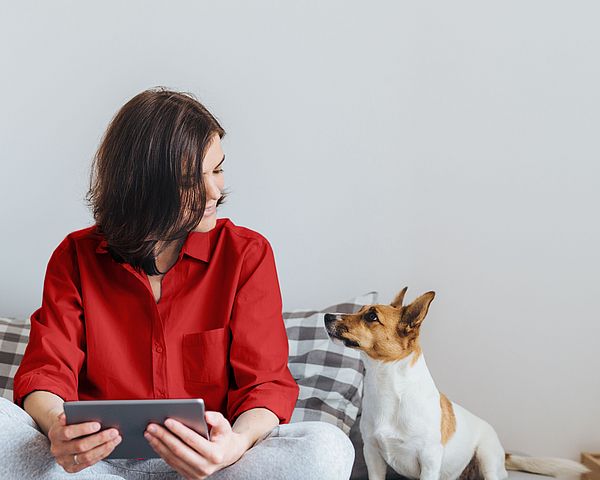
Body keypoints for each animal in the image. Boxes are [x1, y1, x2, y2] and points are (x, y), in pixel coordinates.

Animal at [326, 286, 588, 478]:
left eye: (371, 316)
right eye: (360, 310)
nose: (328, 316)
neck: (388, 386)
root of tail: (503, 453)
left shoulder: (429, 460)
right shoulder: (372, 455)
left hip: (487, 457)